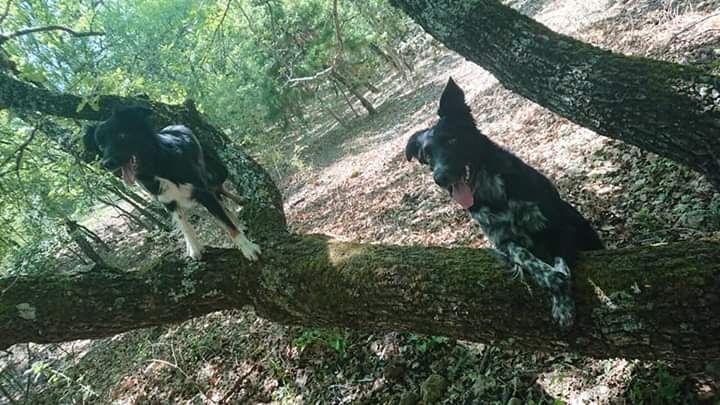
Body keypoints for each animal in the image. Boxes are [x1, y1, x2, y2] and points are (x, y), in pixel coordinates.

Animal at [83, 105, 262, 260]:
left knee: (220, 191)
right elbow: (184, 225)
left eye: (121, 135)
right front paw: (194, 248)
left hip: (217, 172)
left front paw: (247, 248)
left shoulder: (202, 191)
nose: (107, 163)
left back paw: (239, 205)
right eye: (101, 145)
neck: (156, 166)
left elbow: (227, 224)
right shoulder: (168, 201)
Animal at [404, 79, 600, 328]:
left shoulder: (562, 226)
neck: (492, 192)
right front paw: (549, 278)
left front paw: (563, 303)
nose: (440, 178)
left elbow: (561, 258)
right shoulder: (501, 241)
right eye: (427, 155)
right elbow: (521, 254)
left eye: (452, 140)